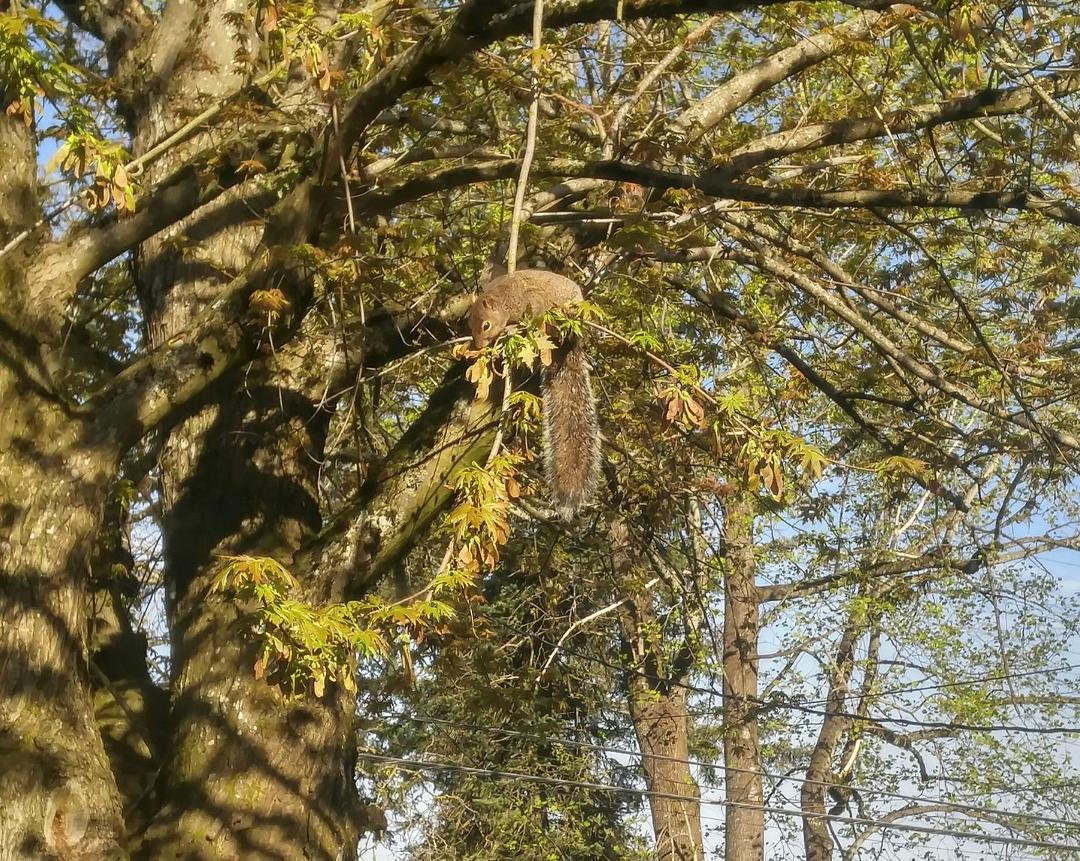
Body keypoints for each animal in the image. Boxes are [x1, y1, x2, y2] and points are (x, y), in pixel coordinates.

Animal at [468, 269, 601, 520]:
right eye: (470, 328)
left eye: (486, 326)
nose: (479, 346)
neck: (504, 297)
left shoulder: (529, 301)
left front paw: (510, 329)